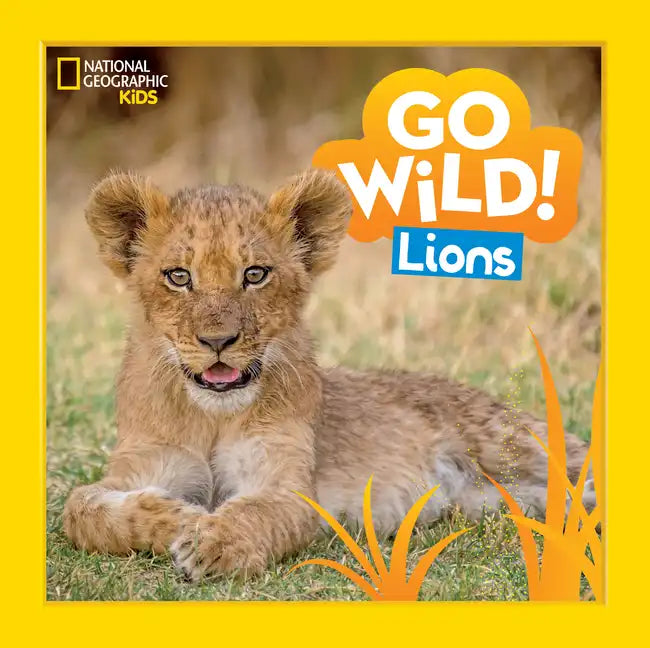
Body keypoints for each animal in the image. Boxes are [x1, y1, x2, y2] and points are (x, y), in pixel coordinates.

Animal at [63, 169, 593, 581]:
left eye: (255, 274)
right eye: (178, 276)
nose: (218, 341)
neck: (212, 416)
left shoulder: (289, 487)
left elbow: (257, 511)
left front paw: (213, 542)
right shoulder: (140, 465)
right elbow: (80, 508)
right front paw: (178, 518)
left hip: (514, 445)